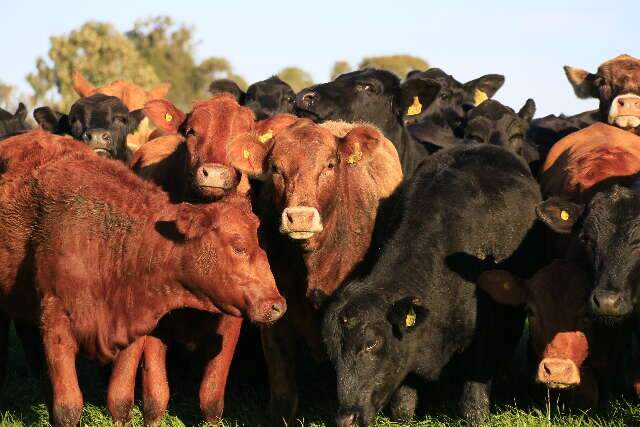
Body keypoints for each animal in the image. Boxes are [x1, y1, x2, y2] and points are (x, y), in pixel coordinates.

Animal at [0, 131, 284, 427]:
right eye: (239, 246)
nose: (277, 305)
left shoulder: (131, 324)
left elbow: (119, 400)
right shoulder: (56, 324)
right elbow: (67, 408)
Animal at [322, 145, 544, 427]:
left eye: (370, 343)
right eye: (332, 352)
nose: (345, 418)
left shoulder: (485, 329)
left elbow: (474, 394)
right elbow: (403, 401)